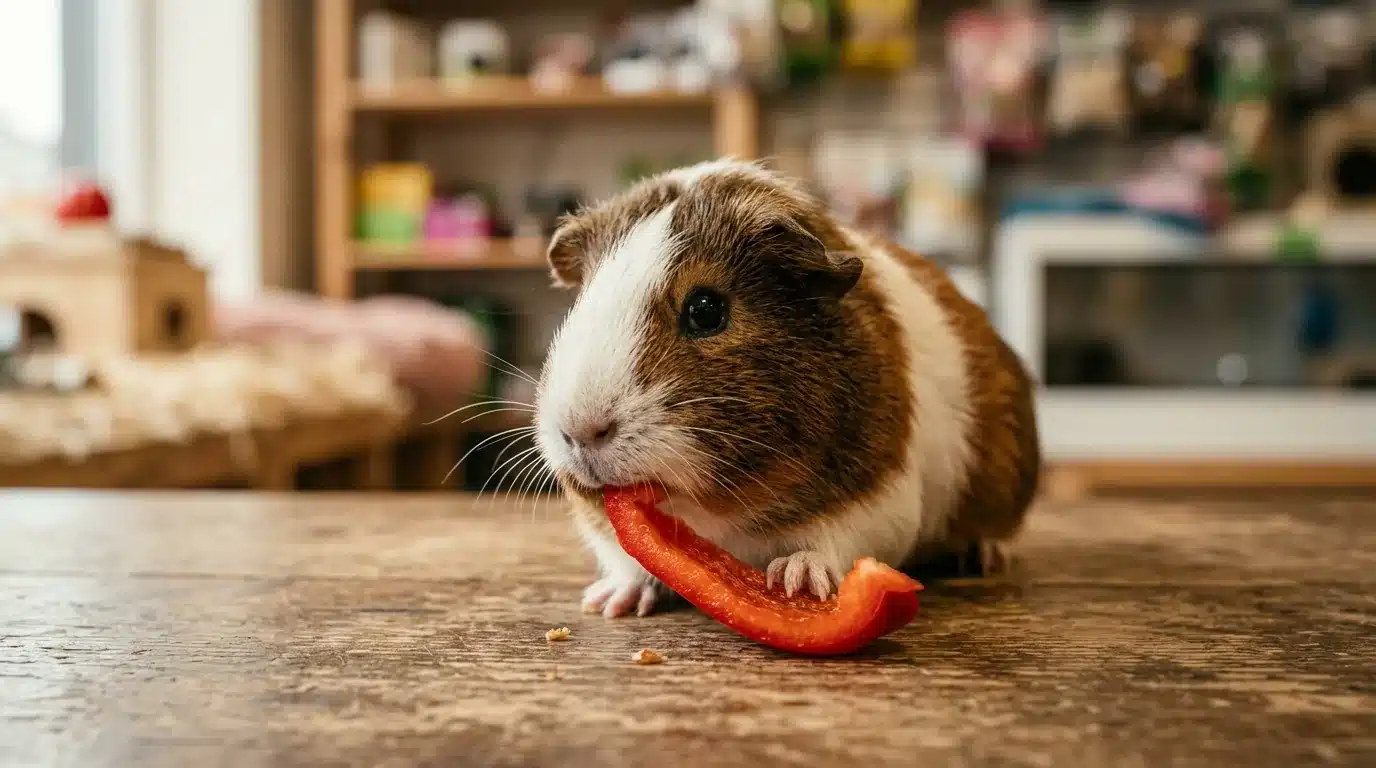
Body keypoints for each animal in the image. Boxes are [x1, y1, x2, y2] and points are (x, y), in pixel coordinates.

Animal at [535, 159, 1040, 618]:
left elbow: (831, 543)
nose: (580, 431)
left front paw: (797, 582)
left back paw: (984, 557)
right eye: (581, 303)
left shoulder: (880, 497)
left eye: (706, 309)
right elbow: (626, 561)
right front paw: (609, 605)